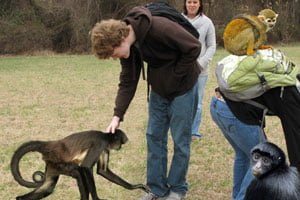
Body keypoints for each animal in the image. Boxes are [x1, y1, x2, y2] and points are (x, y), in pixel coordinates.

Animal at [11, 129, 149, 199]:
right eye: (120, 142)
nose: (119, 147)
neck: (105, 136)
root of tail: (51, 145)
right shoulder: (100, 143)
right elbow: (86, 167)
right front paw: (96, 199)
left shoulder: (104, 149)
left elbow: (102, 171)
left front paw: (136, 186)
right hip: (58, 161)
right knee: (78, 172)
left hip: (52, 164)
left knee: (48, 186)